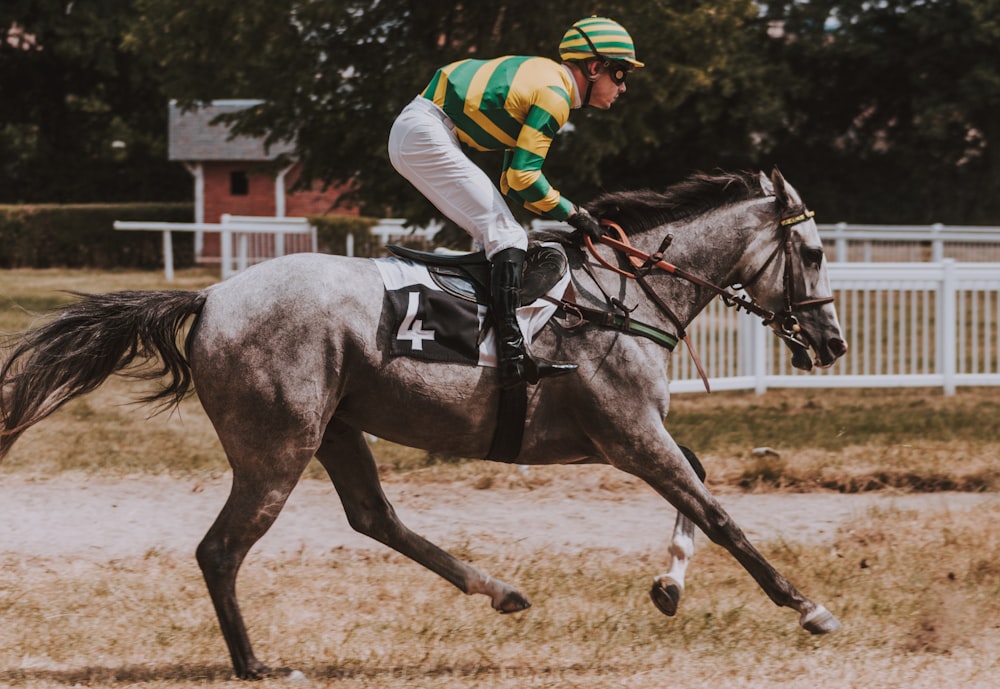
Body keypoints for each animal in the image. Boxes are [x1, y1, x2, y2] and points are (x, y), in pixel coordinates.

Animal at [0, 168, 848, 676]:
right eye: (810, 251)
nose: (833, 342)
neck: (626, 296)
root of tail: (210, 297)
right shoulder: (628, 435)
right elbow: (720, 511)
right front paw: (808, 605)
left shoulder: (633, 434)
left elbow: (699, 490)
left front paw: (669, 585)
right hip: (277, 446)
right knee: (221, 549)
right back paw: (255, 664)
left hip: (336, 428)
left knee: (374, 516)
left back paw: (499, 590)